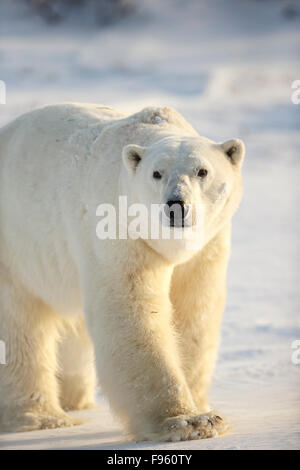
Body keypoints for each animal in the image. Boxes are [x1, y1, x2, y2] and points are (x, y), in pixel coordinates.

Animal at [0, 103, 244, 440]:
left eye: (202, 171)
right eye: (157, 173)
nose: (176, 205)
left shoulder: (207, 247)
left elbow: (194, 312)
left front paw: (204, 411)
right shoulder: (118, 229)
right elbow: (133, 312)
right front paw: (185, 422)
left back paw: (75, 399)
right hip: (17, 248)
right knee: (20, 328)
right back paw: (43, 417)